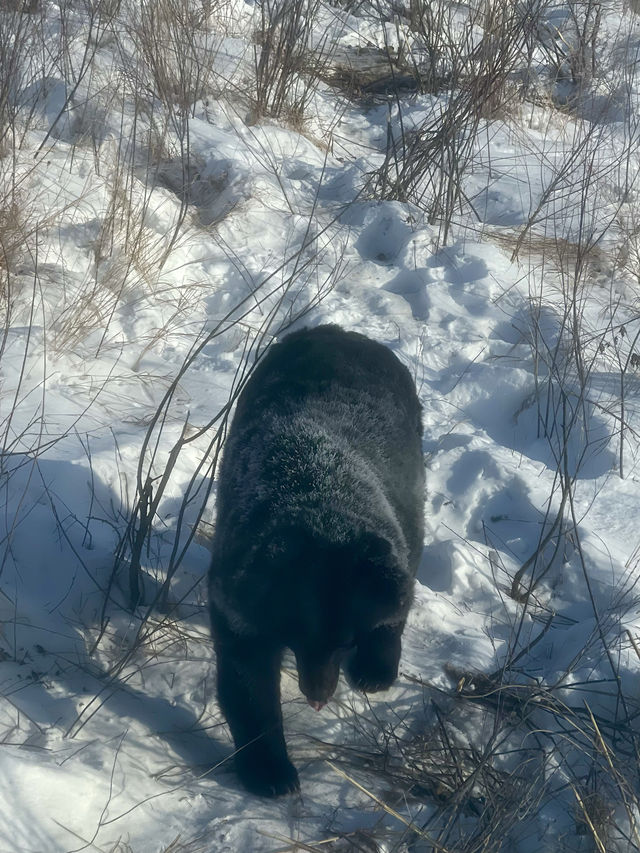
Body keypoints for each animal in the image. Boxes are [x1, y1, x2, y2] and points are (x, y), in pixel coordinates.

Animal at [210, 326, 424, 800]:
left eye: (346, 642)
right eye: (296, 639)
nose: (318, 697)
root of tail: (340, 331)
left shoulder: (398, 530)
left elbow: (396, 601)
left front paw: (376, 663)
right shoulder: (240, 600)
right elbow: (248, 687)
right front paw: (269, 769)